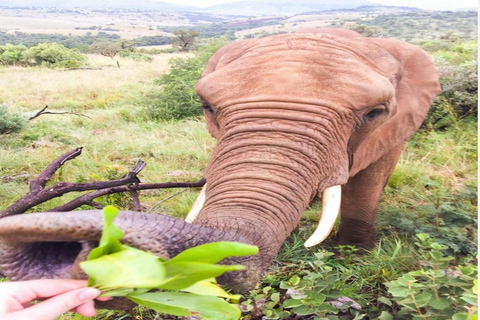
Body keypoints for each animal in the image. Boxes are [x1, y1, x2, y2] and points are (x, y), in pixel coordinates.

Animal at [0, 28, 438, 308]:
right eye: (207, 106)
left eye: (374, 112)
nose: (87, 248)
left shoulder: (395, 127)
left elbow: (370, 180)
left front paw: (354, 256)